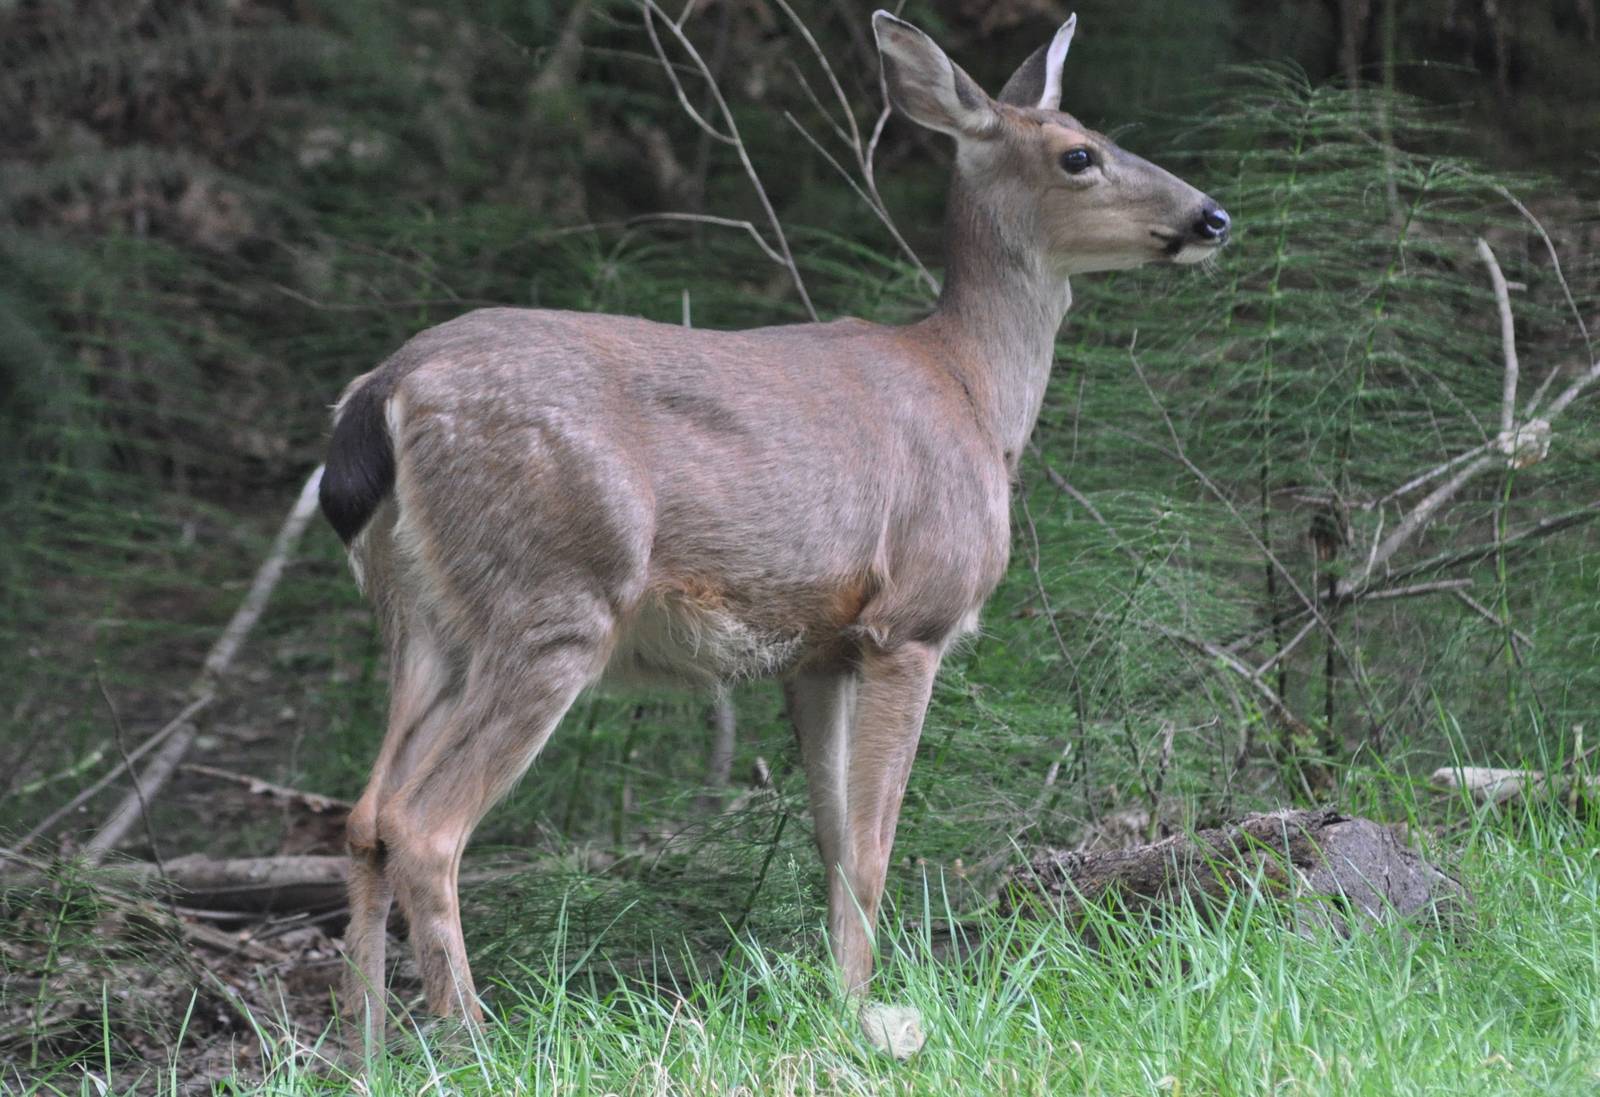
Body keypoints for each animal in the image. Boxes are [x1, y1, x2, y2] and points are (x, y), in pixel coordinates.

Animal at [319, 9, 1229, 1045]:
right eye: (1079, 154)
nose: (1212, 216)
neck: (974, 395)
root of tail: (387, 391)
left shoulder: (819, 647)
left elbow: (831, 836)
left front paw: (838, 992)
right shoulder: (912, 617)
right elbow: (875, 841)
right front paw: (869, 1008)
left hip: (423, 617)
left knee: (365, 814)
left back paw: (365, 1049)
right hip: (553, 598)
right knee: (426, 825)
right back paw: (473, 1041)